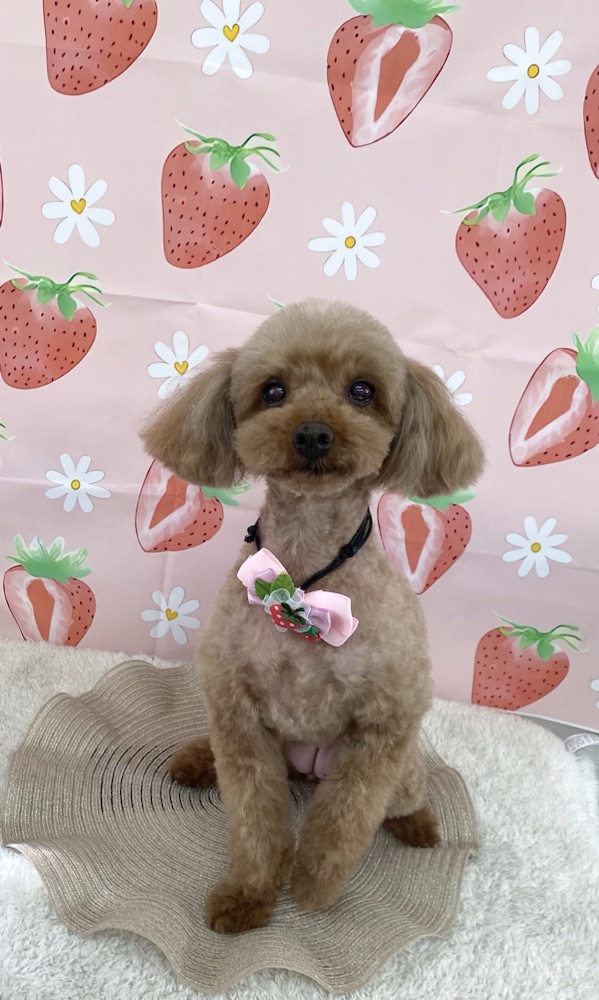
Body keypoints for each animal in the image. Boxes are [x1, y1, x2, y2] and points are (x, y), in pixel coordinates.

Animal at [141, 298, 484, 934]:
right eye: (274, 390)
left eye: (363, 391)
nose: (314, 433)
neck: (301, 579)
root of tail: (305, 769)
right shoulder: (239, 718)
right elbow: (254, 819)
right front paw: (249, 896)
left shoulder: (383, 725)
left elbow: (343, 822)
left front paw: (312, 890)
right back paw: (197, 760)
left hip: (399, 768)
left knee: (404, 795)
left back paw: (419, 824)